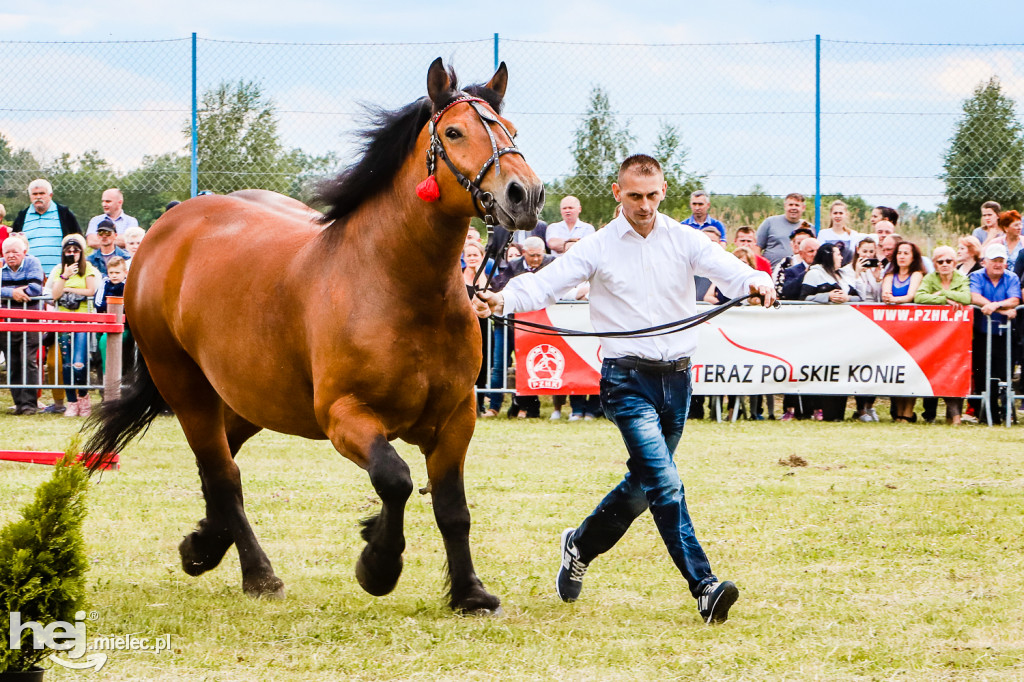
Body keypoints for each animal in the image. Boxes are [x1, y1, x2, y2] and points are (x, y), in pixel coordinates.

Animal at [88, 59, 544, 610]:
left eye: (512, 131)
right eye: (454, 132)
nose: (525, 194)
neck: (399, 286)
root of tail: (169, 226)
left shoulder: (457, 418)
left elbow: (453, 507)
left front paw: (470, 592)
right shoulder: (343, 415)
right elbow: (394, 479)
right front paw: (378, 563)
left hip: (251, 396)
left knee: (220, 460)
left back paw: (202, 546)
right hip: (185, 385)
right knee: (223, 474)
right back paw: (259, 575)